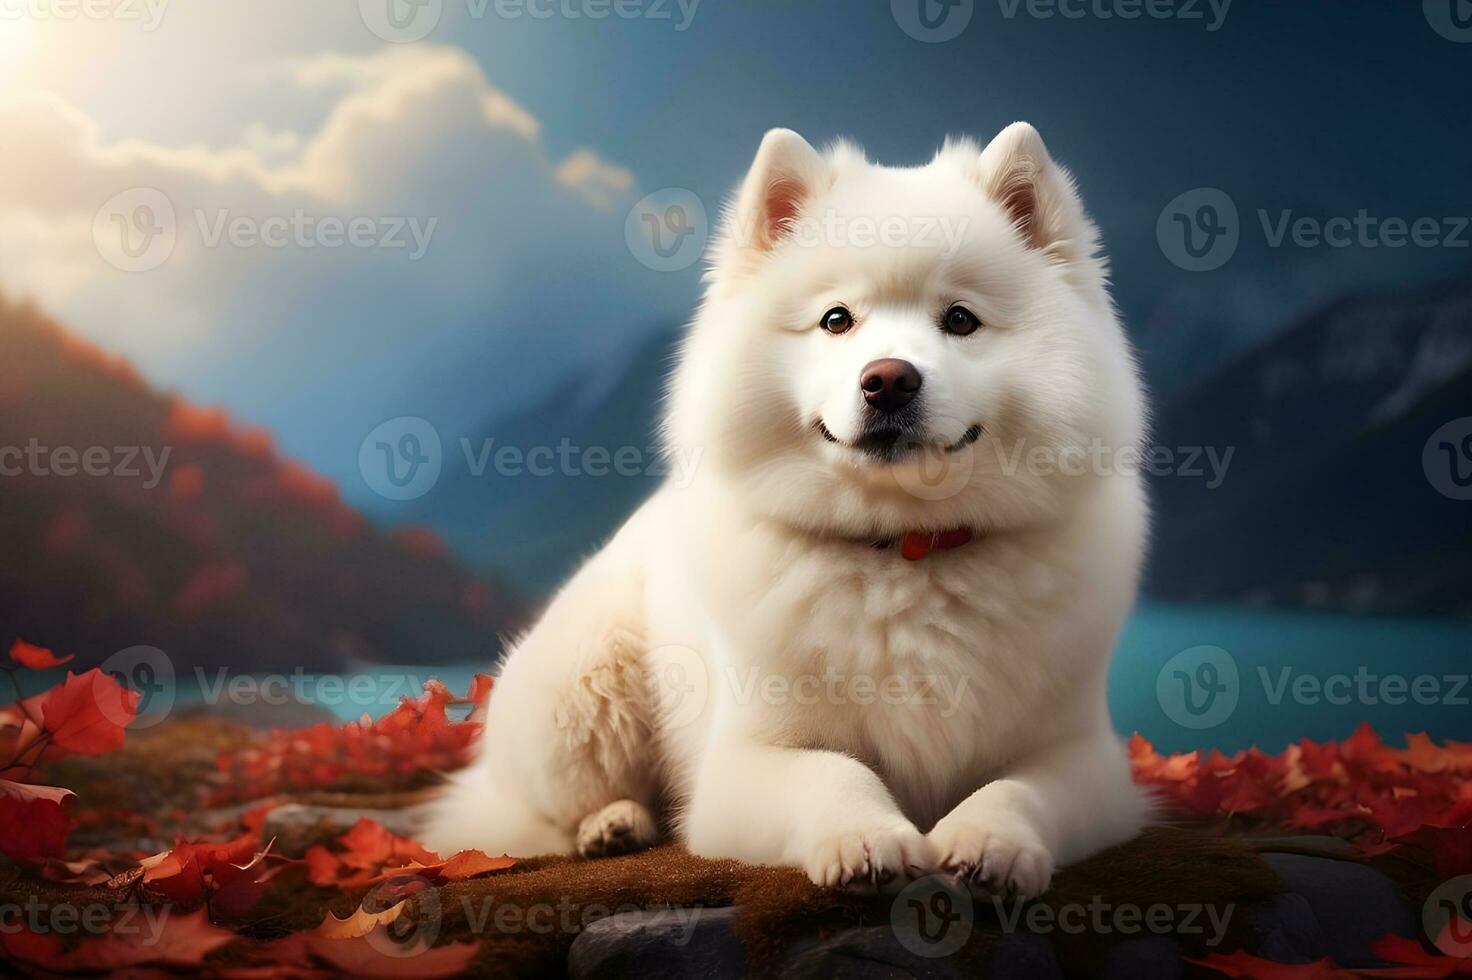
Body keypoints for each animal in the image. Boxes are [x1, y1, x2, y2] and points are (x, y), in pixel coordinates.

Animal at [426, 119, 1148, 894]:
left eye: (960, 319)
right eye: (836, 320)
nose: (889, 379)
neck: (907, 550)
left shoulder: (1081, 755)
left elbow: (1017, 790)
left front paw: (988, 843)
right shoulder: (747, 761)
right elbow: (834, 773)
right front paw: (865, 839)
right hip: (584, 693)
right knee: (536, 813)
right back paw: (611, 823)